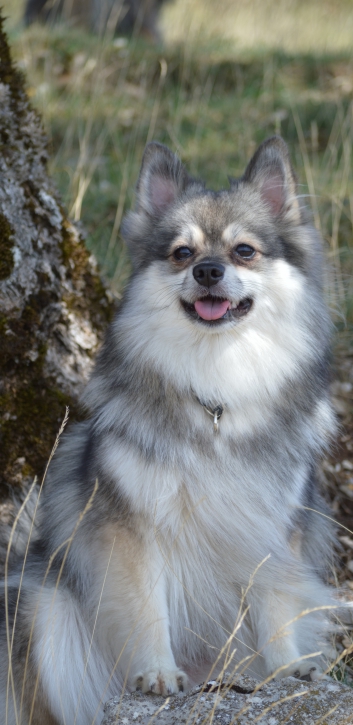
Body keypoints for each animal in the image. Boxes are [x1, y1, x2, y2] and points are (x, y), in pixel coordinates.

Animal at [0, 137, 336, 724]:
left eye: (244, 251)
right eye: (181, 252)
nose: (207, 271)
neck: (216, 389)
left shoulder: (272, 529)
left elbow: (276, 606)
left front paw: (288, 667)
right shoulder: (133, 531)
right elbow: (145, 606)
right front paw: (157, 672)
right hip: (43, 607)